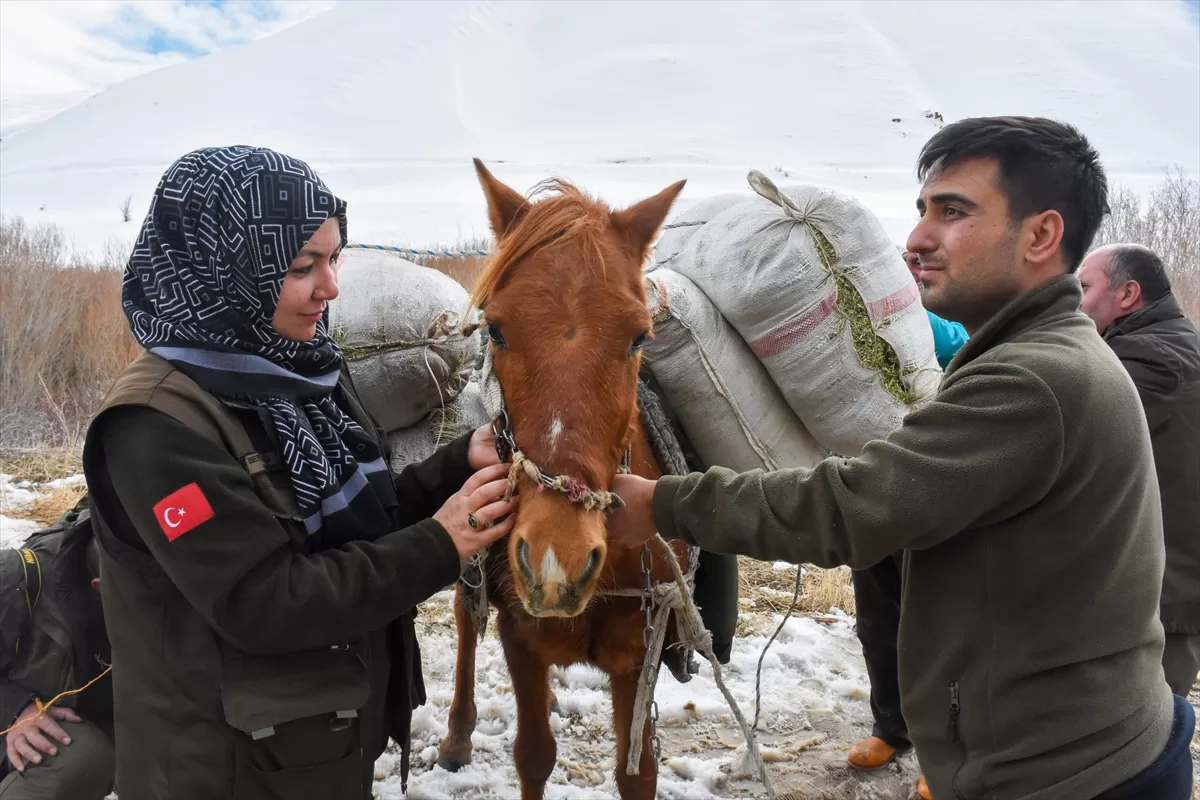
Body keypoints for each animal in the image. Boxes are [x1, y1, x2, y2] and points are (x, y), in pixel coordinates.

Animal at [436, 159, 691, 796]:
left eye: (639, 335)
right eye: (496, 330)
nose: (558, 561)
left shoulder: (639, 658)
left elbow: (637, 771)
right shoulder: (520, 641)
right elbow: (533, 755)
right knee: (463, 613)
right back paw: (457, 735)